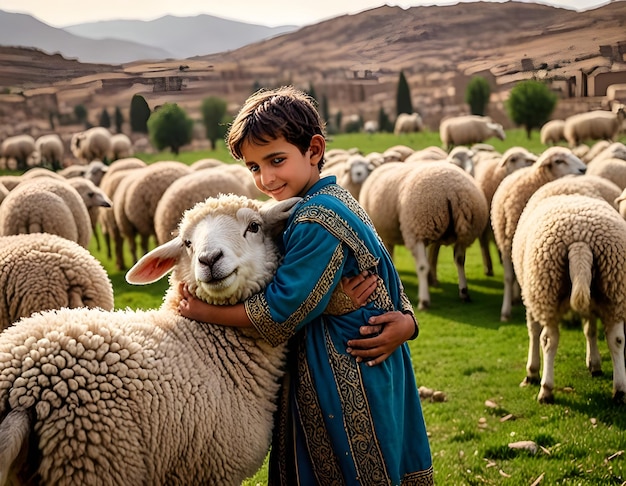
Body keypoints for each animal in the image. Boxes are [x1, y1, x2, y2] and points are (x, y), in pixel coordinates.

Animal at [0, 194, 298, 486]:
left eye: (254, 226)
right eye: (187, 243)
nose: (209, 259)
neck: (208, 344)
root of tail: (26, 387)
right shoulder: (214, 470)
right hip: (93, 455)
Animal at [356, 161, 488, 310]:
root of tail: (452, 191)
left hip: (417, 227)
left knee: (422, 266)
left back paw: (424, 301)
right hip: (463, 233)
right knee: (459, 260)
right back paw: (464, 292)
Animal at [510, 194, 624, 402]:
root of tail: (580, 241)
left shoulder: (532, 297)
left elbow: (533, 331)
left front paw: (532, 372)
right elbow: (590, 329)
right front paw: (594, 364)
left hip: (546, 290)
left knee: (549, 339)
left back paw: (546, 390)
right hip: (615, 291)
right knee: (616, 339)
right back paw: (619, 390)